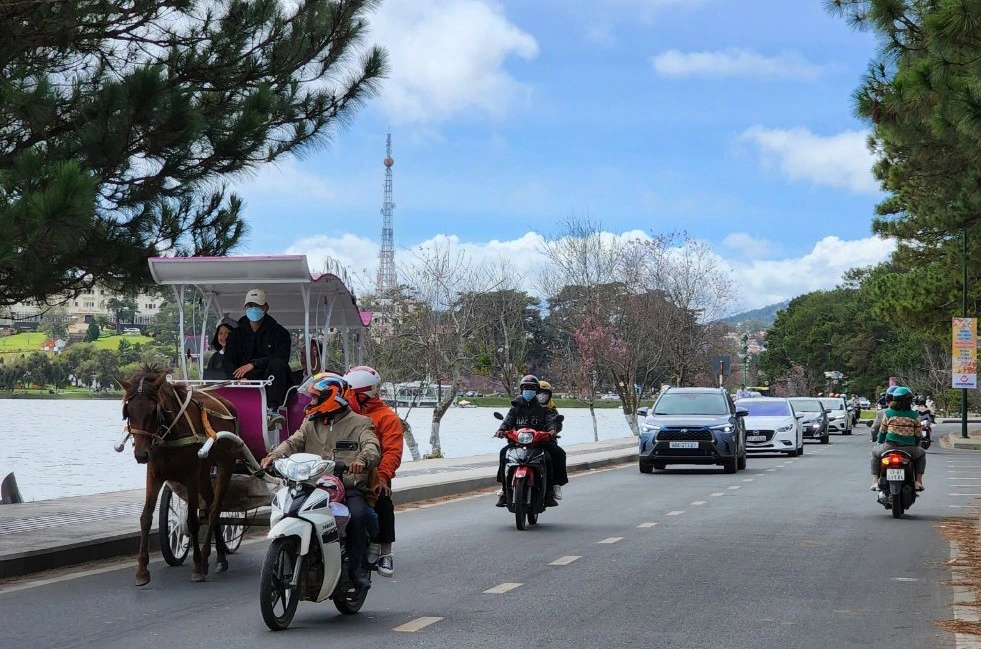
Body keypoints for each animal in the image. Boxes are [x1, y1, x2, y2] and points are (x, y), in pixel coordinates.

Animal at [118, 368, 239, 584]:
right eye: (128, 412)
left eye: (153, 411)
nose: (141, 455)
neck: (170, 434)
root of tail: (227, 404)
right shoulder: (154, 475)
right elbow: (146, 517)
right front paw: (142, 570)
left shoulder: (190, 477)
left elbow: (192, 520)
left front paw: (197, 566)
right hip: (204, 471)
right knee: (210, 505)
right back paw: (220, 557)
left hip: (226, 464)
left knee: (215, 510)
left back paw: (206, 558)